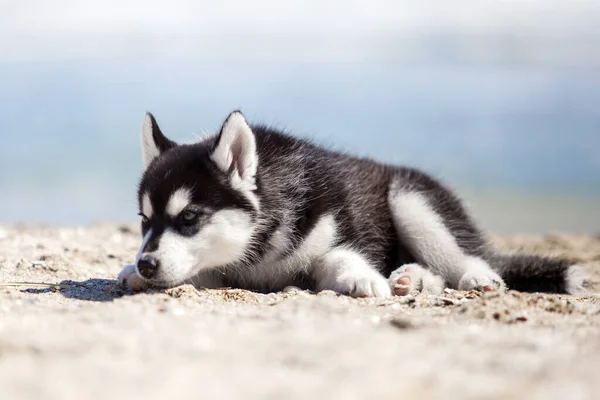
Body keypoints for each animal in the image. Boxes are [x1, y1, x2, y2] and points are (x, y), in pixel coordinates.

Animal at [117, 109, 584, 296]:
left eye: (190, 216)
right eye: (144, 221)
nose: (146, 263)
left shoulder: (341, 227)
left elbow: (335, 256)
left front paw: (359, 276)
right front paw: (132, 272)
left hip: (410, 199)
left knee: (462, 257)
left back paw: (472, 276)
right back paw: (411, 279)